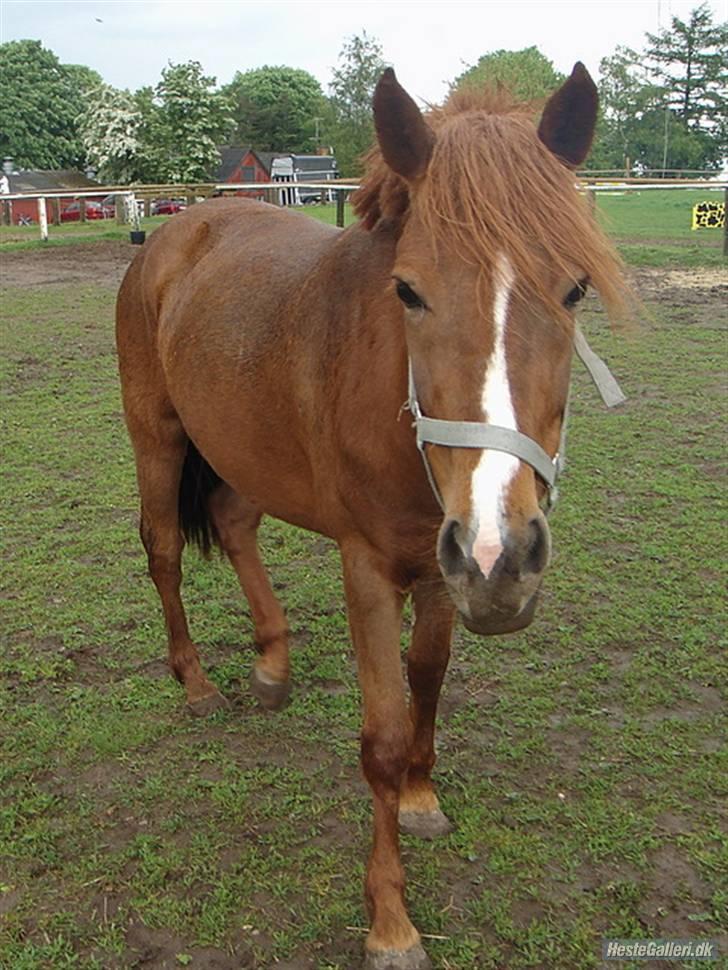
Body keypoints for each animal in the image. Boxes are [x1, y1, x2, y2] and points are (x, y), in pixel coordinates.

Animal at [116, 64, 624, 964]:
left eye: (576, 287)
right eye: (409, 291)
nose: (506, 556)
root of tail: (177, 229)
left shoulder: (443, 563)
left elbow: (429, 680)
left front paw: (422, 796)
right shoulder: (370, 567)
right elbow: (382, 736)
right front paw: (390, 920)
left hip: (245, 445)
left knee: (236, 526)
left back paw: (272, 665)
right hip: (159, 436)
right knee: (165, 547)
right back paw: (197, 684)